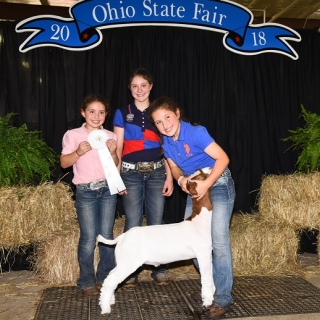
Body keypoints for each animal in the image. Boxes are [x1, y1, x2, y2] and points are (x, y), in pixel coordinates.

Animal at [96, 168, 214, 316]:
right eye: (202, 176)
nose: (208, 168)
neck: (198, 221)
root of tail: (122, 237)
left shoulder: (208, 257)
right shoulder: (203, 256)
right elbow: (207, 279)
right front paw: (208, 302)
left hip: (123, 262)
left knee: (110, 278)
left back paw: (109, 301)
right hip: (128, 264)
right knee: (111, 281)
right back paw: (105, 309)